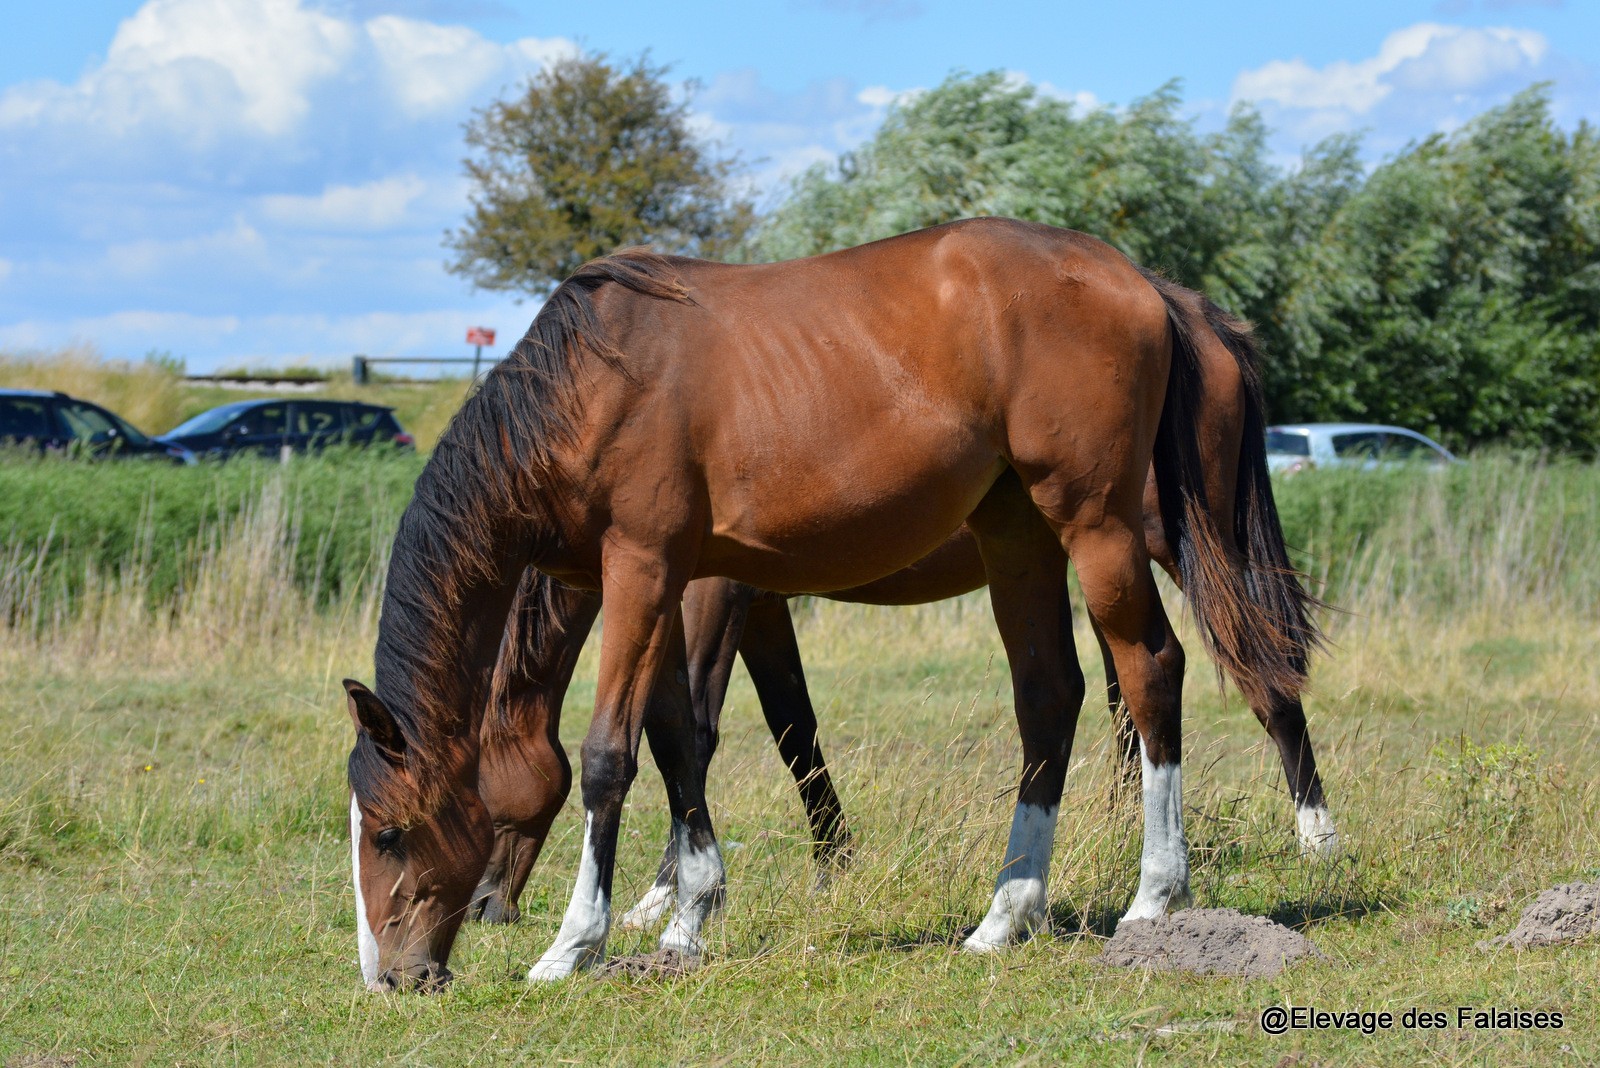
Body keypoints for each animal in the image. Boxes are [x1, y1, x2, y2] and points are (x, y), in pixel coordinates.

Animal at [344, 219, 1318, 991]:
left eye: (390, 833)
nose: (392, 976)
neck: (588, 387)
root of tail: (1147, 284)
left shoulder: (650, 572)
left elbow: (615, 755)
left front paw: (575, 943)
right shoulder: (678, 584)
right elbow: (683, 741)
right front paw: (689, 917)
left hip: (1105, 529)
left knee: (1162, 671)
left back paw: (1164, 893)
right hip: (1020, 537)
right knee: (1054, 697)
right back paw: (1007, 914)